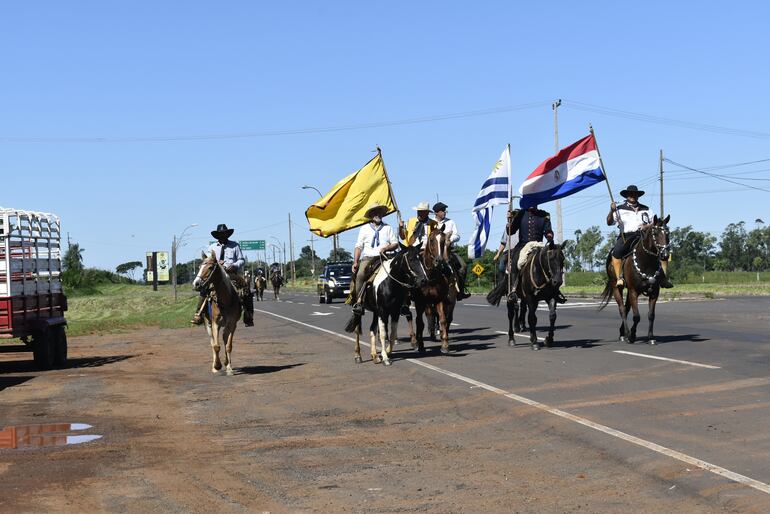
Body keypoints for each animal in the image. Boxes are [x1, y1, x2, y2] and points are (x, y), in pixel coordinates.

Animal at [596, 214, 668, 342]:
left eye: (668, 233)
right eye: (655, 233)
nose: (665, 255)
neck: (647, 262)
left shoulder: (654, 292)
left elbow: (651, 315)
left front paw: (651, 337)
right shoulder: (634, 291)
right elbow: (636, 316)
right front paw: (631, 335)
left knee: (626, 308)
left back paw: (622, 332)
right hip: (617, 287)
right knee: (622, 309)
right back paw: (625, 333)